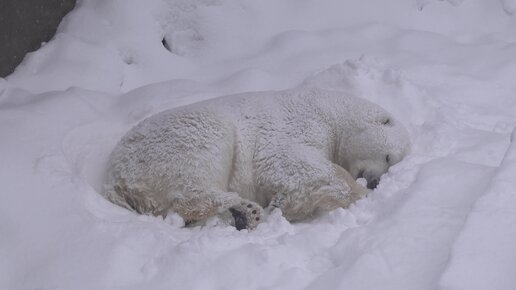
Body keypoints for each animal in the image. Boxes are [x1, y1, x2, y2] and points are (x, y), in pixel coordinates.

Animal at [104, 89, 412, 230]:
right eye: (387, 156)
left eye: (392, 164)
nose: (375, 182)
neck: (331, 111)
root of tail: (115, 177)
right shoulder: (299, 126)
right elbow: (289, 161)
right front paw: (359, 192)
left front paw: (282, 203)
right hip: (179, 140)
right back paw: (246, 209)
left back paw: (245, 213)